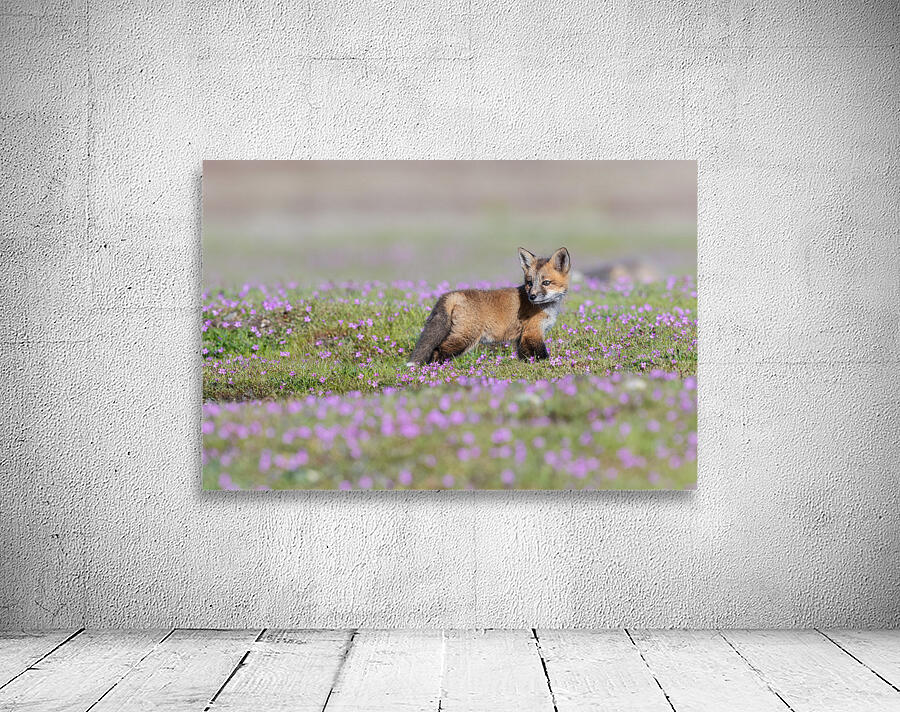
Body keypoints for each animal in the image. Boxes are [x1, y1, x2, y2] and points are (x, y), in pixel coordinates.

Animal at [407, 247, 571, 365]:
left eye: (546, 283)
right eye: (530, 283)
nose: (532, 296)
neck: (546, 308)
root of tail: (455, 294)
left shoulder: (523, 336)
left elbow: (524, 356)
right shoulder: (533, 332)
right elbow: (541, 355)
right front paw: (547, 364)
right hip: (465, 338)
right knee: (438, 350)